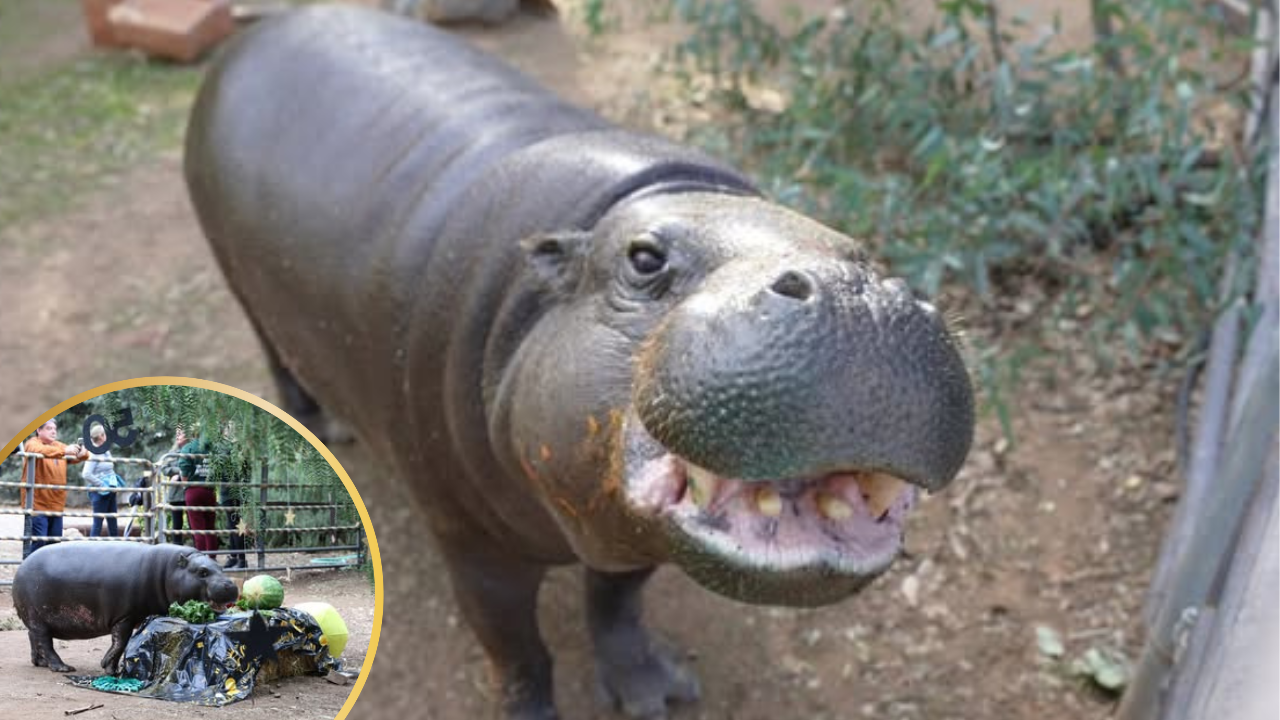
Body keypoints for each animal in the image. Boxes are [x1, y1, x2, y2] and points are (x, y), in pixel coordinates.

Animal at [13, 542, 240, 674]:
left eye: (220, 567)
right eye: (202, 572)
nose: (231, 585)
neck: (168, 571)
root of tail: (21, 567)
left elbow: (123, 645)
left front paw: (116, 669)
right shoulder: (124, 616)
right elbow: (119, 643)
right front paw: (109, 669)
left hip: (37, 620)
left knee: (34, 638)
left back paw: (40, 663)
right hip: (38, 619)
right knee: (45, 643)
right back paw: (63, 668)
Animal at [184, 6, 974, 719]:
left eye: (860, 252)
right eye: (645, 259)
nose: (861, 294)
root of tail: (256, 34)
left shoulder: (620, 523)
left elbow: (616, 604)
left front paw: (656, 696)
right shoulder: (470, 543)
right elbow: (517, 649)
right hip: (240, 286)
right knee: (277, 356)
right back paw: (323, 423)